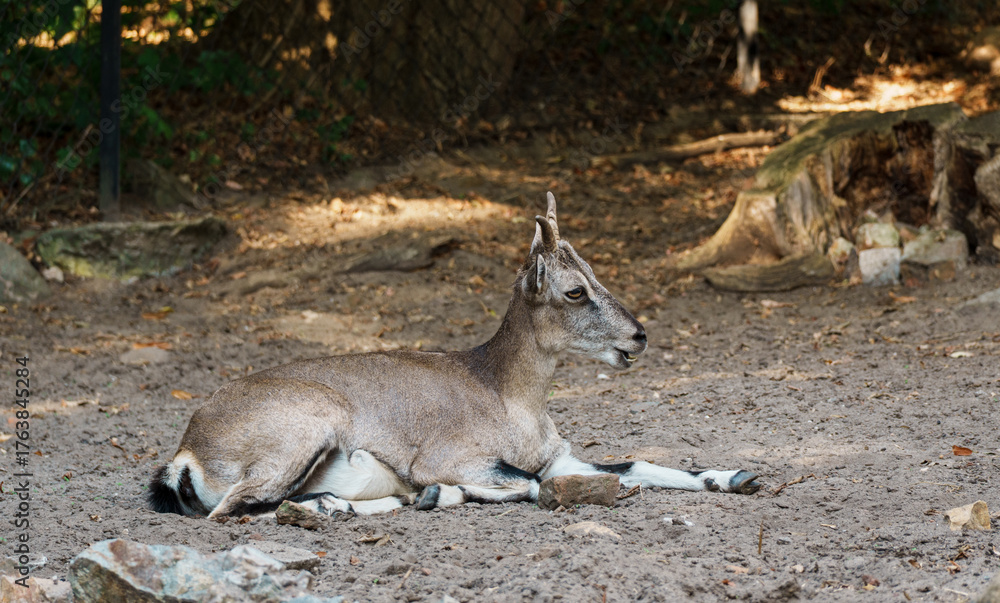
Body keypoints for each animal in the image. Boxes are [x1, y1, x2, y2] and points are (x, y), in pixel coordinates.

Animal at [149, 192, 760, 519]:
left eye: (595, 274)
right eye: (574, 291)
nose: (637, 337)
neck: (506, 394)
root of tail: (186, 454)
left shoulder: (559, 458)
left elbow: (636, 463)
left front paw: (736, 477)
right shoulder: (456, 457)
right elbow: (533, 483)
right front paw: (444, 490)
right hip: (301, 434)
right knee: (240, 509)